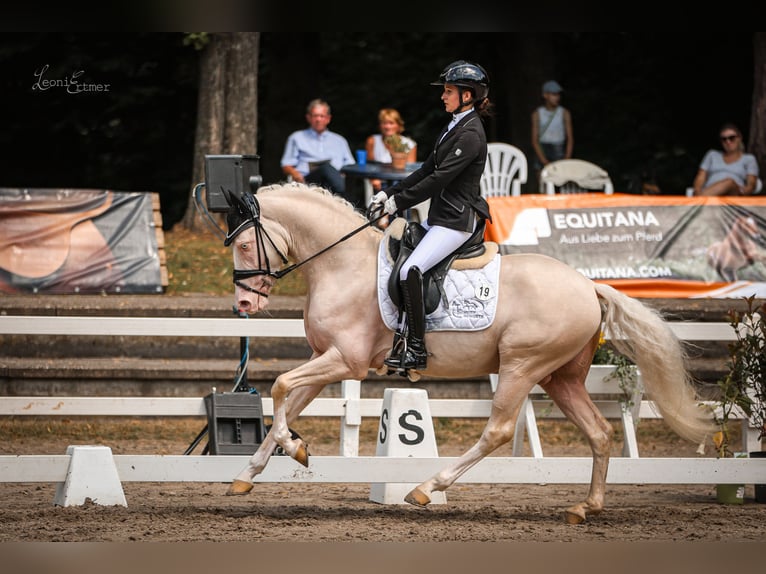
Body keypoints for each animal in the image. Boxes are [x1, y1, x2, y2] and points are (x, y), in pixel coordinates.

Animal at [223, 182, 712, 524]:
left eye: (245, 244)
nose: (244, 304)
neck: (343, 264)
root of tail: (589, 286)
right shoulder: (323, 360)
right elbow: (286, 401)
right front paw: (250, 473)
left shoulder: (346, 360)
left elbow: (280, 386)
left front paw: (295, 449)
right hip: (561, 377)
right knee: (599, 432)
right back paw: (585, 507)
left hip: (522, 365)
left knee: (498, 430)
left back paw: (426, 488)